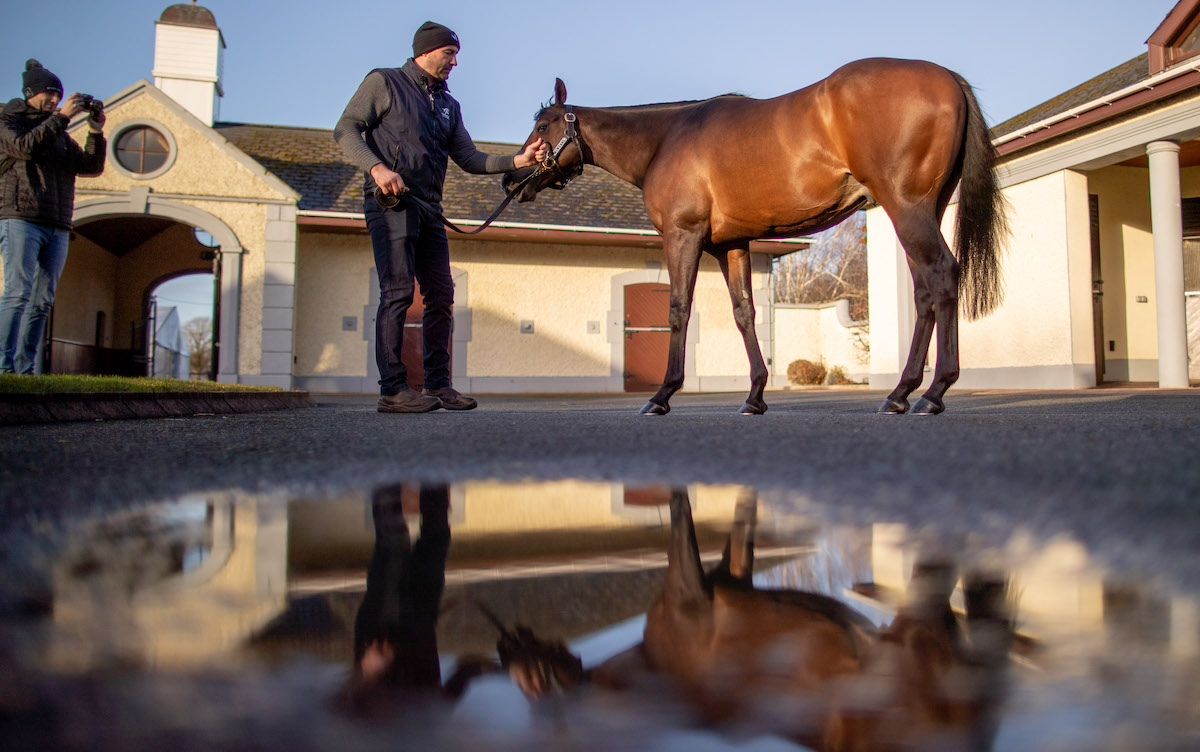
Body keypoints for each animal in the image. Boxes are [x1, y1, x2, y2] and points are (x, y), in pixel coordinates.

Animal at [501, 58, 1008, 417]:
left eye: (543, 125)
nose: (512, 180)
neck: (666, 139)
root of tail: (946, 78)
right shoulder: (732, 246)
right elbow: (744, 313)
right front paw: (755, 396)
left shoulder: (683, 236)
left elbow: (678, 309)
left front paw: (663, 394)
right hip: (921, 210)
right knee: (924, 292)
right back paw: (901, 393)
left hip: (907, 209)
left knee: (941, 275)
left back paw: (932, 393)